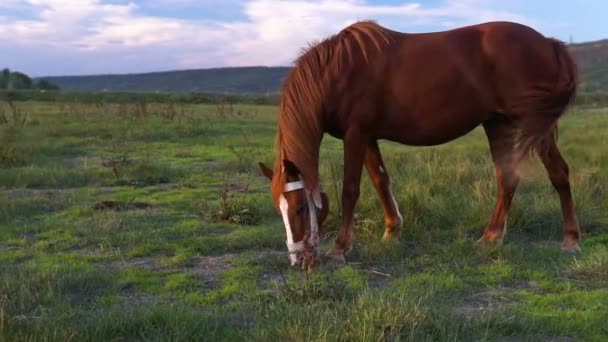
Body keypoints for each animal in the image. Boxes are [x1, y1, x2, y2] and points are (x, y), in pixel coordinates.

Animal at [256, 20, 580, 268]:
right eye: (278, 209)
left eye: (300, 207)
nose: (298, 260)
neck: (336, 73)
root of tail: (549, 43)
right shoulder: (368, 136)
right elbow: (381, 181)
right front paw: (392, 231)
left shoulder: (356, 134)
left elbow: (351, 189)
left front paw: (340, 249)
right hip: (498, 124)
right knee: (508, 178)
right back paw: (491, 237)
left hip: (532, 125)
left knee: (558, 172)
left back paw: (571, 240)